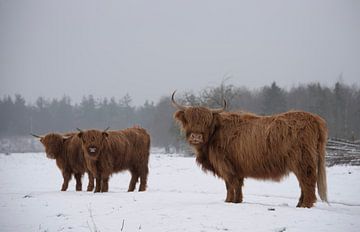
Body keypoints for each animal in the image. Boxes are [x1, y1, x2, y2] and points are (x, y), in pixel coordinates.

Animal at [173, 91, 328, 208]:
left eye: (206, 122)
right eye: (189, 120)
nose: (196, 137)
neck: (215, 134)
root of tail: (314, 118)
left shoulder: (226, 165)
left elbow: (230, 184)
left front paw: (229, 201)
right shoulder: (236, 167)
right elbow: (238, 185)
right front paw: (238, 201)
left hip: (302, 160)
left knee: (307, 181)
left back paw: (305, 205)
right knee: (303, 183)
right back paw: (299, 204)